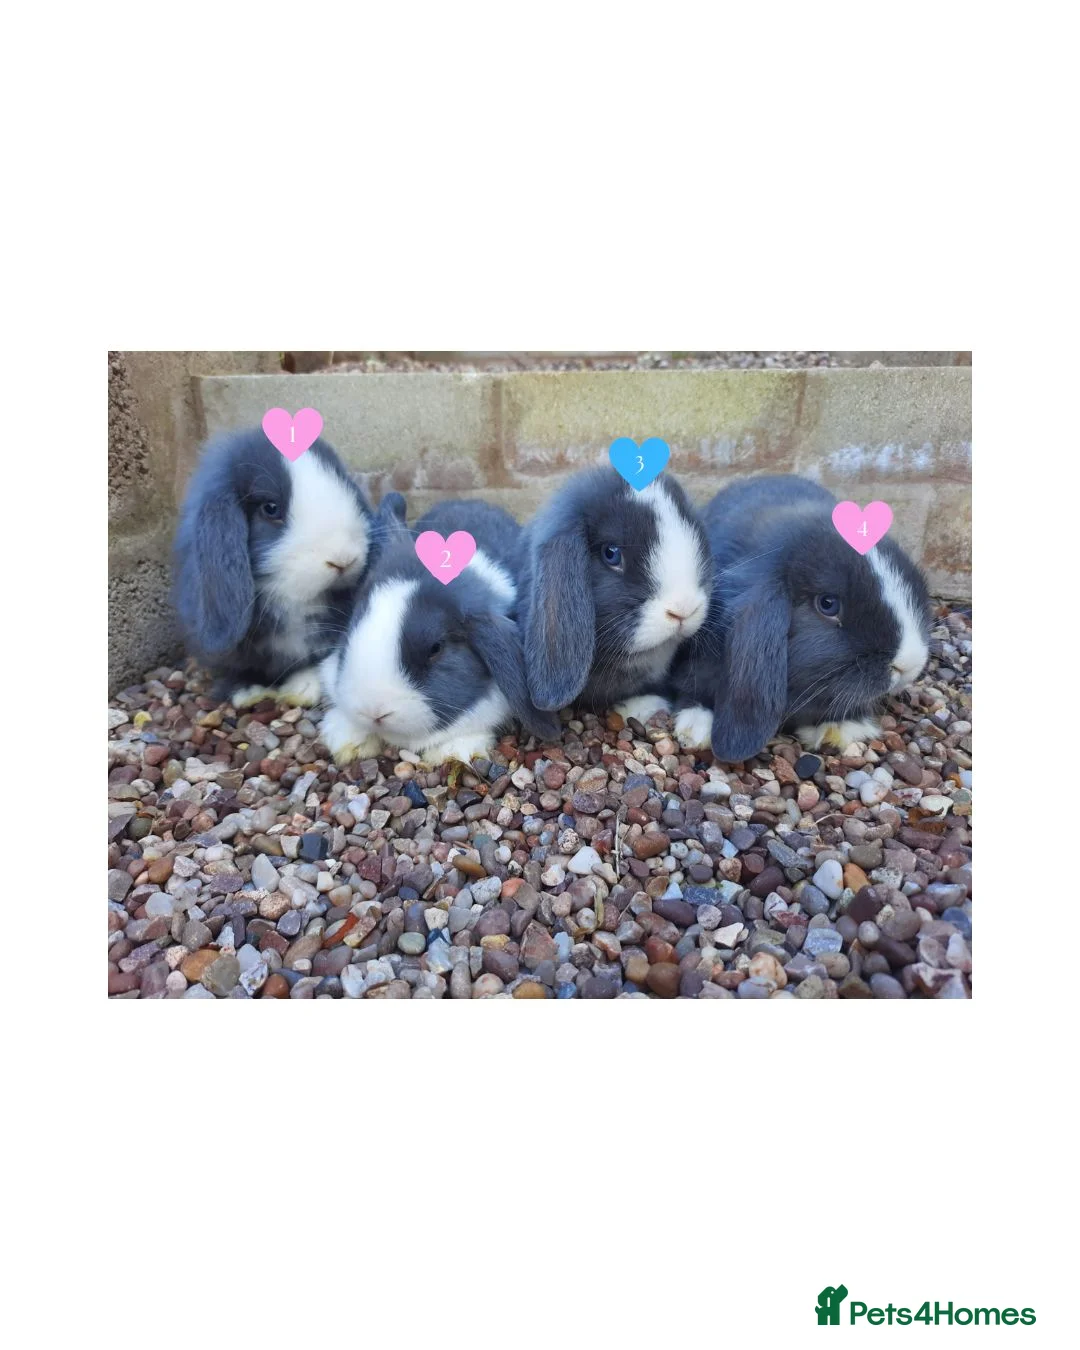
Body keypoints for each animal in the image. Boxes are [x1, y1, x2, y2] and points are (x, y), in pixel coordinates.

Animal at [173, 426, 404, 709]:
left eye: (345, 484)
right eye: (271, 509)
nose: (343, 559)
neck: (293, 601)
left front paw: (304, 688)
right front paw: (246, 692)